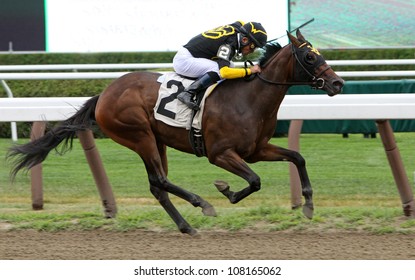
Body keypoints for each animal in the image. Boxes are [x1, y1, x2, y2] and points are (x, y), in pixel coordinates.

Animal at [7, 29, 344, 235]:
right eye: (310, 56)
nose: (338, 83)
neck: (249, 99)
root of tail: (103, 94)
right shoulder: (220, 154)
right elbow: (254, 181)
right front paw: (226, 190)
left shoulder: (257, 150)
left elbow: (297, 158)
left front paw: (308, 205)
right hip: (139, 135)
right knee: (159, 180)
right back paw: (202, 204)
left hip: (156, 141)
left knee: (157, 185)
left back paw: (186, 225)